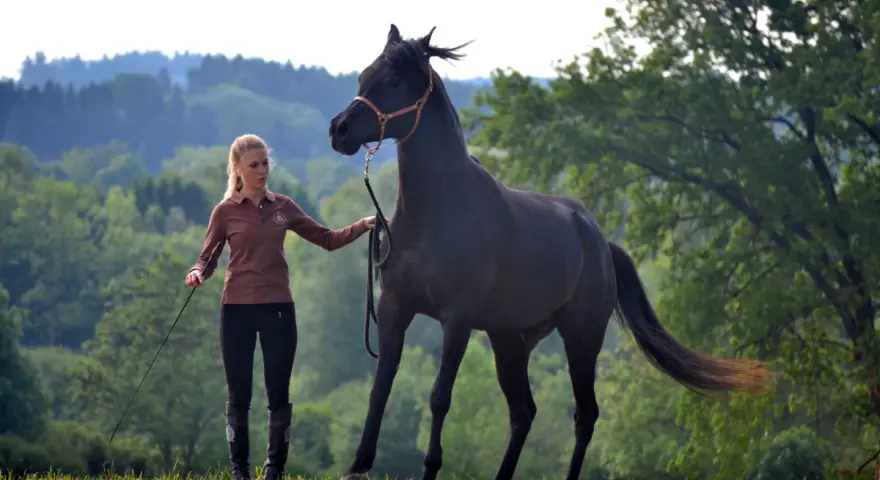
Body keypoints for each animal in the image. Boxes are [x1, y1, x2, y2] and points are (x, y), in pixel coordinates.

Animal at [327, 24, 771, 480]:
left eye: (395, 82)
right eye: (363, 76)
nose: (339, 130)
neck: (436, 214)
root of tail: (602, 244)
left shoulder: (457, 320)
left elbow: (439, 396)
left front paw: (431, 467)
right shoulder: (395, 307)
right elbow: (380, 387)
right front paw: (358, 464)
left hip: (581, 339)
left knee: (584, 416)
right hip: (511, 341)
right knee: (523, 413)